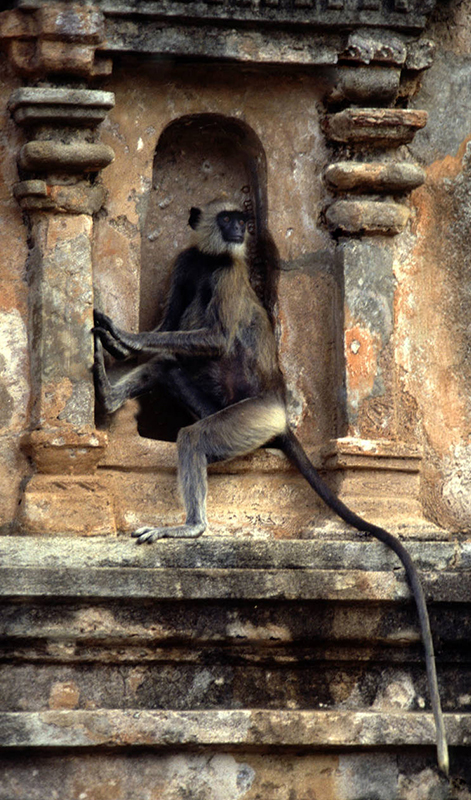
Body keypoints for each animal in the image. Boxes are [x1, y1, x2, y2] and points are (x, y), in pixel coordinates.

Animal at [93, 197, 449, 775]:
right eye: (228, 218)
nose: (241, 229)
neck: (213, 258)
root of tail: (281, 417)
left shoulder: (227, 273)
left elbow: (210, 337)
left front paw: (121, 334)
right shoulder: (189, 264)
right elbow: (168, 328)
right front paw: (119, 347)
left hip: (248, 420)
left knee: (192, 431)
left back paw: (190, 528)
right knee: (169, 365)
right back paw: (107, 394)